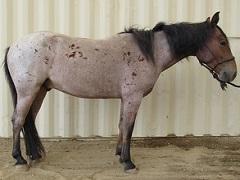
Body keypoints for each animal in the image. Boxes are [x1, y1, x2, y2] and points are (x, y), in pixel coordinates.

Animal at [2, 11, 237, 172]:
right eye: (222, 42)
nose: (231, 74)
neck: (150, 53)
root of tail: (13, 45)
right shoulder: (133, 98)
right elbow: (129, 127)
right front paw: (128, 162)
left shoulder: (126, 98)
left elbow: (122, 124)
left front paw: (119, 155)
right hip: (28, 91)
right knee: (18, 120)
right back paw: (19, 159)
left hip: (40, 90)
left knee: (28, 120)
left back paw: (34, 155)